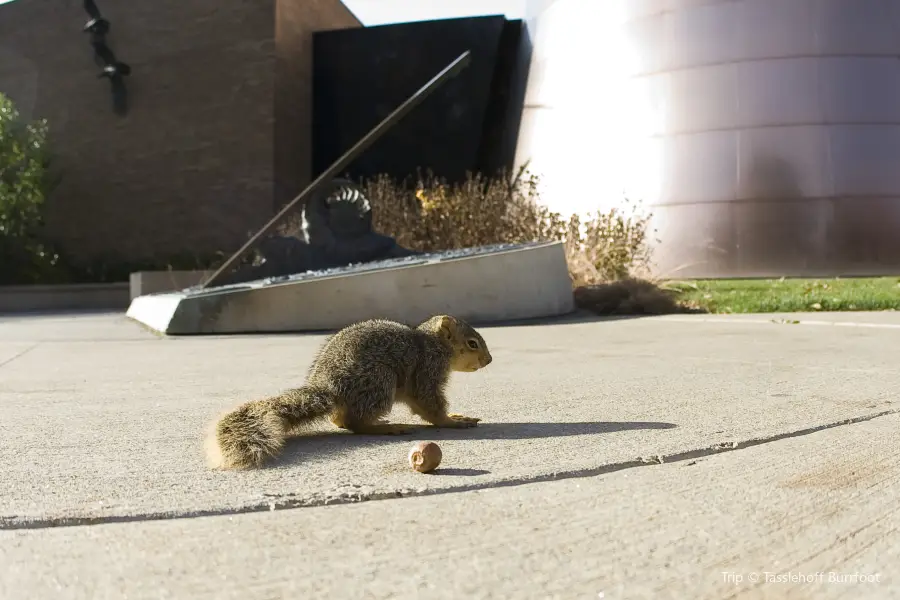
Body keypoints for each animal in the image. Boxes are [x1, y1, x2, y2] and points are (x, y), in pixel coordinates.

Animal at [204, 314, 492, 468]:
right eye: (472, 343)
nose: (489, 360)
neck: (434, 344)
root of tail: (329, 388)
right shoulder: (428, 369)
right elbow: (429, 404)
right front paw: (453, 421)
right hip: (379, 381)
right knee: (355, 422)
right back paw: (386, 427)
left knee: (340, 419)